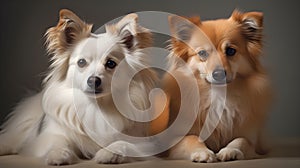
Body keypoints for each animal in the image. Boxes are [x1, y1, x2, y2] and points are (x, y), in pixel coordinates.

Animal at [0, 8, 157, 165]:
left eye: (111, 63)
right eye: (81, 62)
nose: (93, 80)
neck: (96, 107)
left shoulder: (143, 143)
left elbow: (123, 143)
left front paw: (109, 153)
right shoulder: (47, 137)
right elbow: (58, 141)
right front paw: (58, 154)